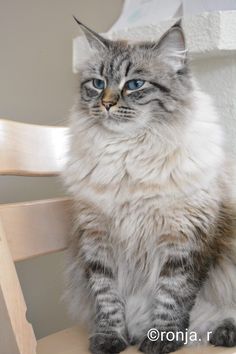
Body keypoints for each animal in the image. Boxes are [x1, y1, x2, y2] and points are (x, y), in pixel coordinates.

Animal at [62, 18, 236, 354]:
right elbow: (108, 301)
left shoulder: (183, 241)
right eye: (98, 84)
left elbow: (171, 298)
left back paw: (223, 333)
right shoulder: (97, 240)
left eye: (134, 85)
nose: (106, 104)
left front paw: (160, 340)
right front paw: (111, 340)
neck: (128, 154)